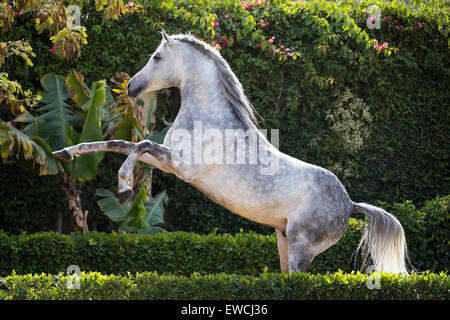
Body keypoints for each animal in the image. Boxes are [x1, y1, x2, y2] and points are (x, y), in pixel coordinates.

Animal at [53, 30, 412, 276]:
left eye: (156, 57)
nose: (130, 87)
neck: (210, 116)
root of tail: (351, 205)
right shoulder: (168, 163)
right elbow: (121, 144)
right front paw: (66, 152)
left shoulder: (181, 166)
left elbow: (140, 145)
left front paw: (125, 189)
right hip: (284, 241)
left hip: (302, 248)